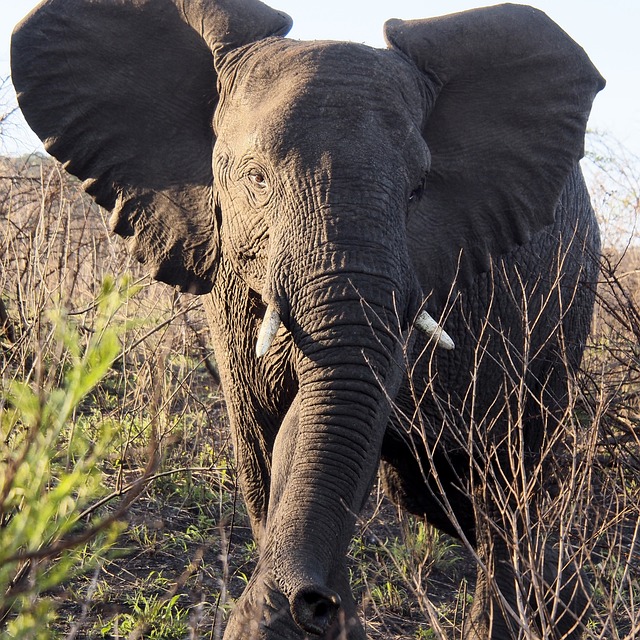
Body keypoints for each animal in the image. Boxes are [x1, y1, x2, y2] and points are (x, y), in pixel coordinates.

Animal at [11, 2, 604, 636]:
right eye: (257, 179)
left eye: (419, 189)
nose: (314, 600)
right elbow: (272, 442)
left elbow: (330, 417)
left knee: (506, 491)